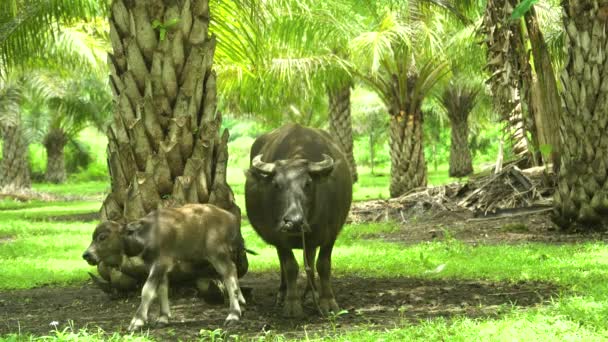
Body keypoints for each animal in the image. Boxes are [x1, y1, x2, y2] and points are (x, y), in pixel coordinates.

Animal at [246, 123, 354, 318]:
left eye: (308, 183)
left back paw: (312, 294)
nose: (294, 222)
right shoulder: (279, 237)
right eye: (276, 185)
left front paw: (327, 301)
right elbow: (290, 267)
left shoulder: (330, 233)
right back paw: (283, 294)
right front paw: (292, 303)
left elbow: (323, 265)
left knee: (309, 259)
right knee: (285, 264)